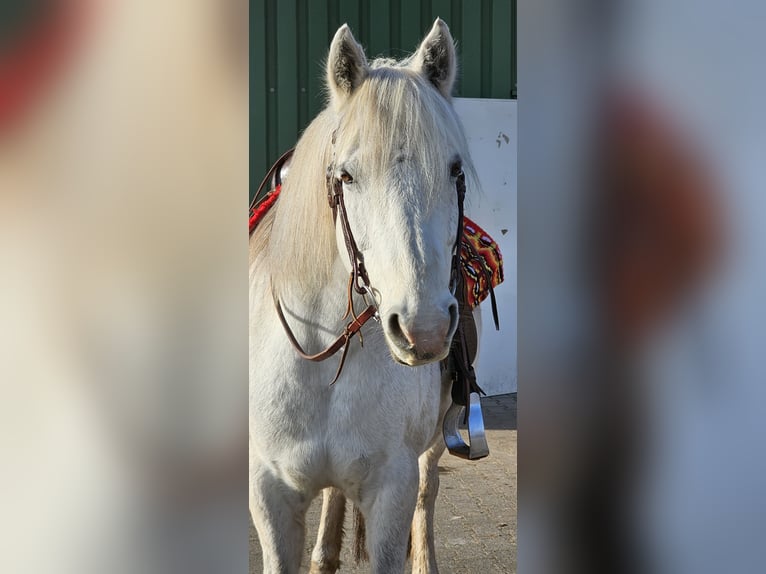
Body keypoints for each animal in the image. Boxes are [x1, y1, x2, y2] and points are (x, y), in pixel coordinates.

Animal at [250, 19, 478, 573]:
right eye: (347, 175)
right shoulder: (269, 494)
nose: (424, 329)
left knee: (427, 492)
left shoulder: (391, 488)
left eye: (455, 170)